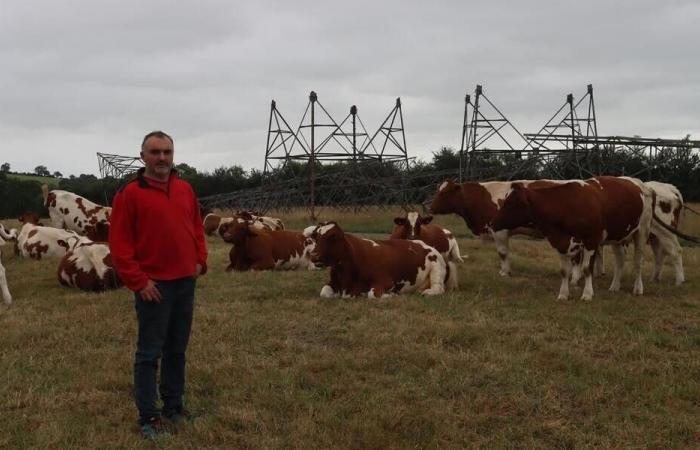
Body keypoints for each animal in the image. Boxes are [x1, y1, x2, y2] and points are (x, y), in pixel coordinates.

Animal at [304, 221, 446, 298]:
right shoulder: (333, 282)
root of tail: (424, 244)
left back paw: (427, 292)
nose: (314, 255)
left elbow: (372, 294)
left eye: (332, 237)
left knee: (438, 288)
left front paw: (392, 295)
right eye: (317, 237)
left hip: (436, 268)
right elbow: (324, 292)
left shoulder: (387, 282)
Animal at [492, 177, 652, 302]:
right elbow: (564, 271)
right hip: (617, 237)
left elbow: (586, 269)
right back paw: (614, 286)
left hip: (642, 231)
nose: (493, 222)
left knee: (638, 262)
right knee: (620, 260)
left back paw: (638, 289)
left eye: (511, 203)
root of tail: (638, 183)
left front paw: (587, 294)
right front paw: (563, 294)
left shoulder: (591, 241)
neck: (569, 206)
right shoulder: (561, 242)